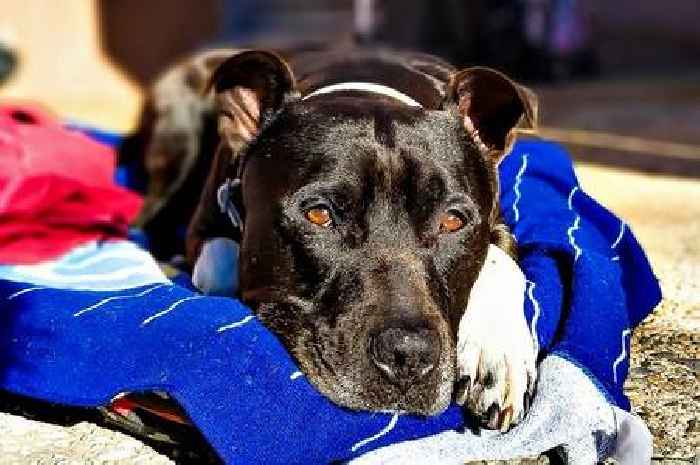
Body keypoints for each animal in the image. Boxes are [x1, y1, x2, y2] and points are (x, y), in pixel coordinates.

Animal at [127, 48, 540, 432]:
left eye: (453, 221)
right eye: (319, 214)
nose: (408, 355)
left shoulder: (496, 221)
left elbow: (501, 263)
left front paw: (497, 354)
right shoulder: (205, 225)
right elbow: (221, 267)